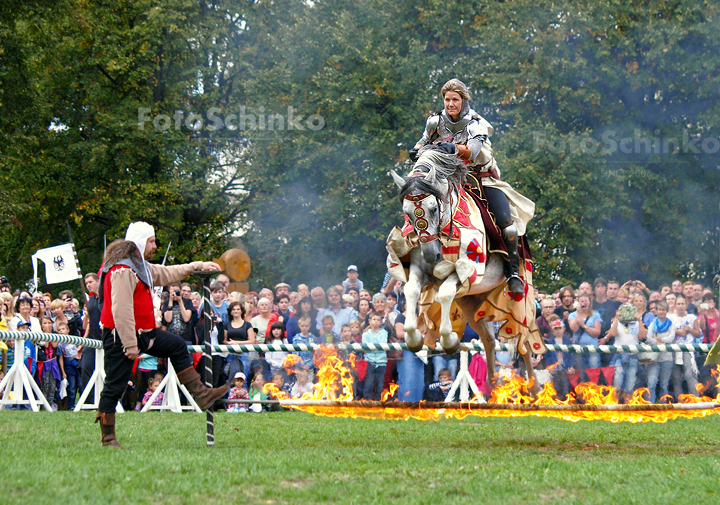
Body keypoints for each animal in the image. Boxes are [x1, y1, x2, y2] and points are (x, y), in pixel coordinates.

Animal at [386, 148, 544, 392]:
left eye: (433, 208)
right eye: (408, 213)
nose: (431, 255)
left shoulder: (466, 271)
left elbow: (445, 293)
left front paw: (449, 340)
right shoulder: (420, 272)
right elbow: (411, 291)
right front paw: (414, 339)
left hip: (520, 307)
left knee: (524, 344)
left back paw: (534, 388)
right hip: (473, 304)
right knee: (489, 340)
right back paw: (492, 386)